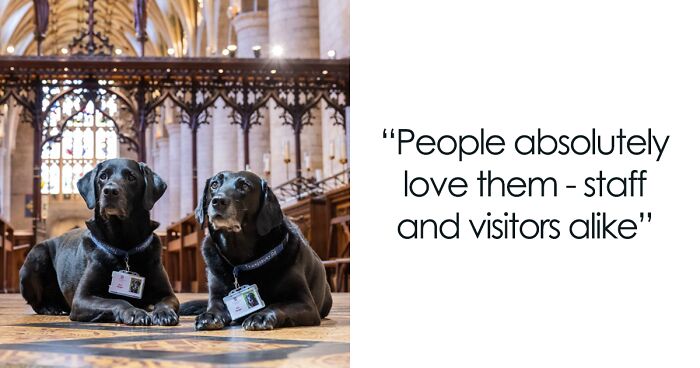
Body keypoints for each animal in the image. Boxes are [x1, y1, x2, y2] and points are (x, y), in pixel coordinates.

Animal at [19, 158, 180, 324]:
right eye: (103, 176)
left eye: (131, 177)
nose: (110, 191)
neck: (123, 243)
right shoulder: (82, 298)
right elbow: (118, 301)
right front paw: (135, 312)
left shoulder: (168, 294)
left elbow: (166, 302)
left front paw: (163, 312)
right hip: (36, 257)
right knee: (36, 303)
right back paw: (50, 308)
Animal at [180, 170, 334, 330]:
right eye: (214, 184)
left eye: (245, 186)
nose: (218, 201)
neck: (240, 259)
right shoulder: (217, 296)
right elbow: (214, 306)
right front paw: (209, 315)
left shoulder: (305, 303)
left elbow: (277, 305)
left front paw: (261, 316)